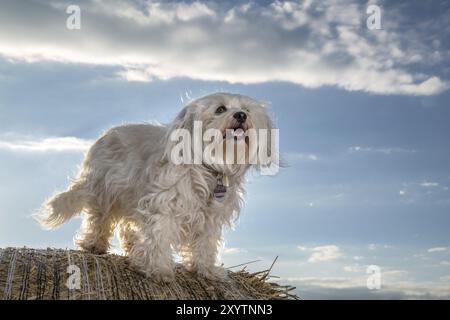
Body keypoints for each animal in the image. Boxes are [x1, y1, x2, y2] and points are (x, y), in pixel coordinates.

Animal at [38, 91, 276, 282]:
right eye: (220, 109)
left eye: (246, 109)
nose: (241, 115)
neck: (209, 169)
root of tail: (105, 135)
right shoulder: (165, 205)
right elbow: (159, 238)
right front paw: (159, 270)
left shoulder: (210, 217)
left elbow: (206, 244)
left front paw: (206, 270)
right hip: (104, 191)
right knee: (99, 219)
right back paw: (94, 244)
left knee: (126, 224)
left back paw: (132, 247)